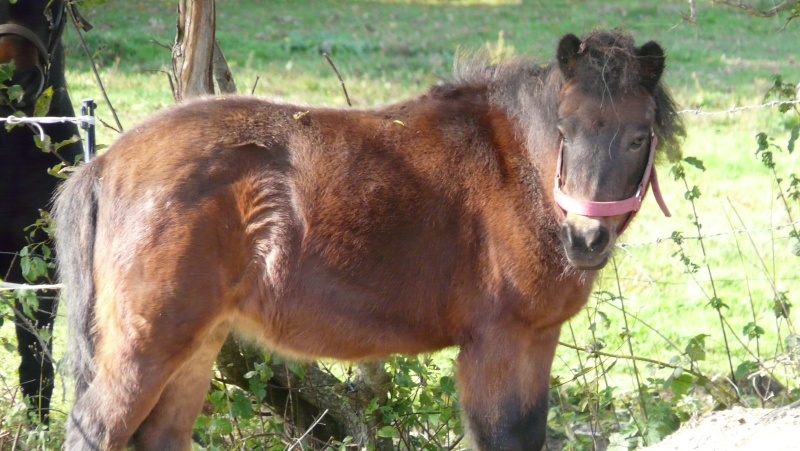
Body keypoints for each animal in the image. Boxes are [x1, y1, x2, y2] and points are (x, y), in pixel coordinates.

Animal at [54, 30, 680, 450]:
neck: (517, 167)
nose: (586, 239)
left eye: (639, 135)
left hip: (197, 343)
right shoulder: (499, 344)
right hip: (147, 346)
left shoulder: (536, 341)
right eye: (564, 130)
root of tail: (105, 165)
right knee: (96, 430)